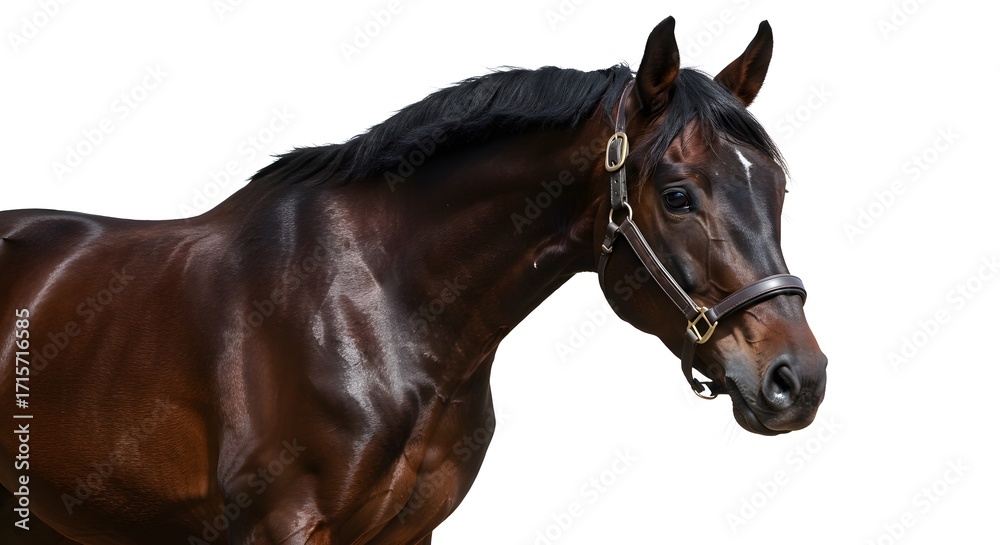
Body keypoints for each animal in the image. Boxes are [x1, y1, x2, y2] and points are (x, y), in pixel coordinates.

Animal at [0, 16, 826, 545]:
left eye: (778, 190)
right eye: (679, 195)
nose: (798, 377)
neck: (384, 317)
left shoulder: (411, 530)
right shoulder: (281, 526)